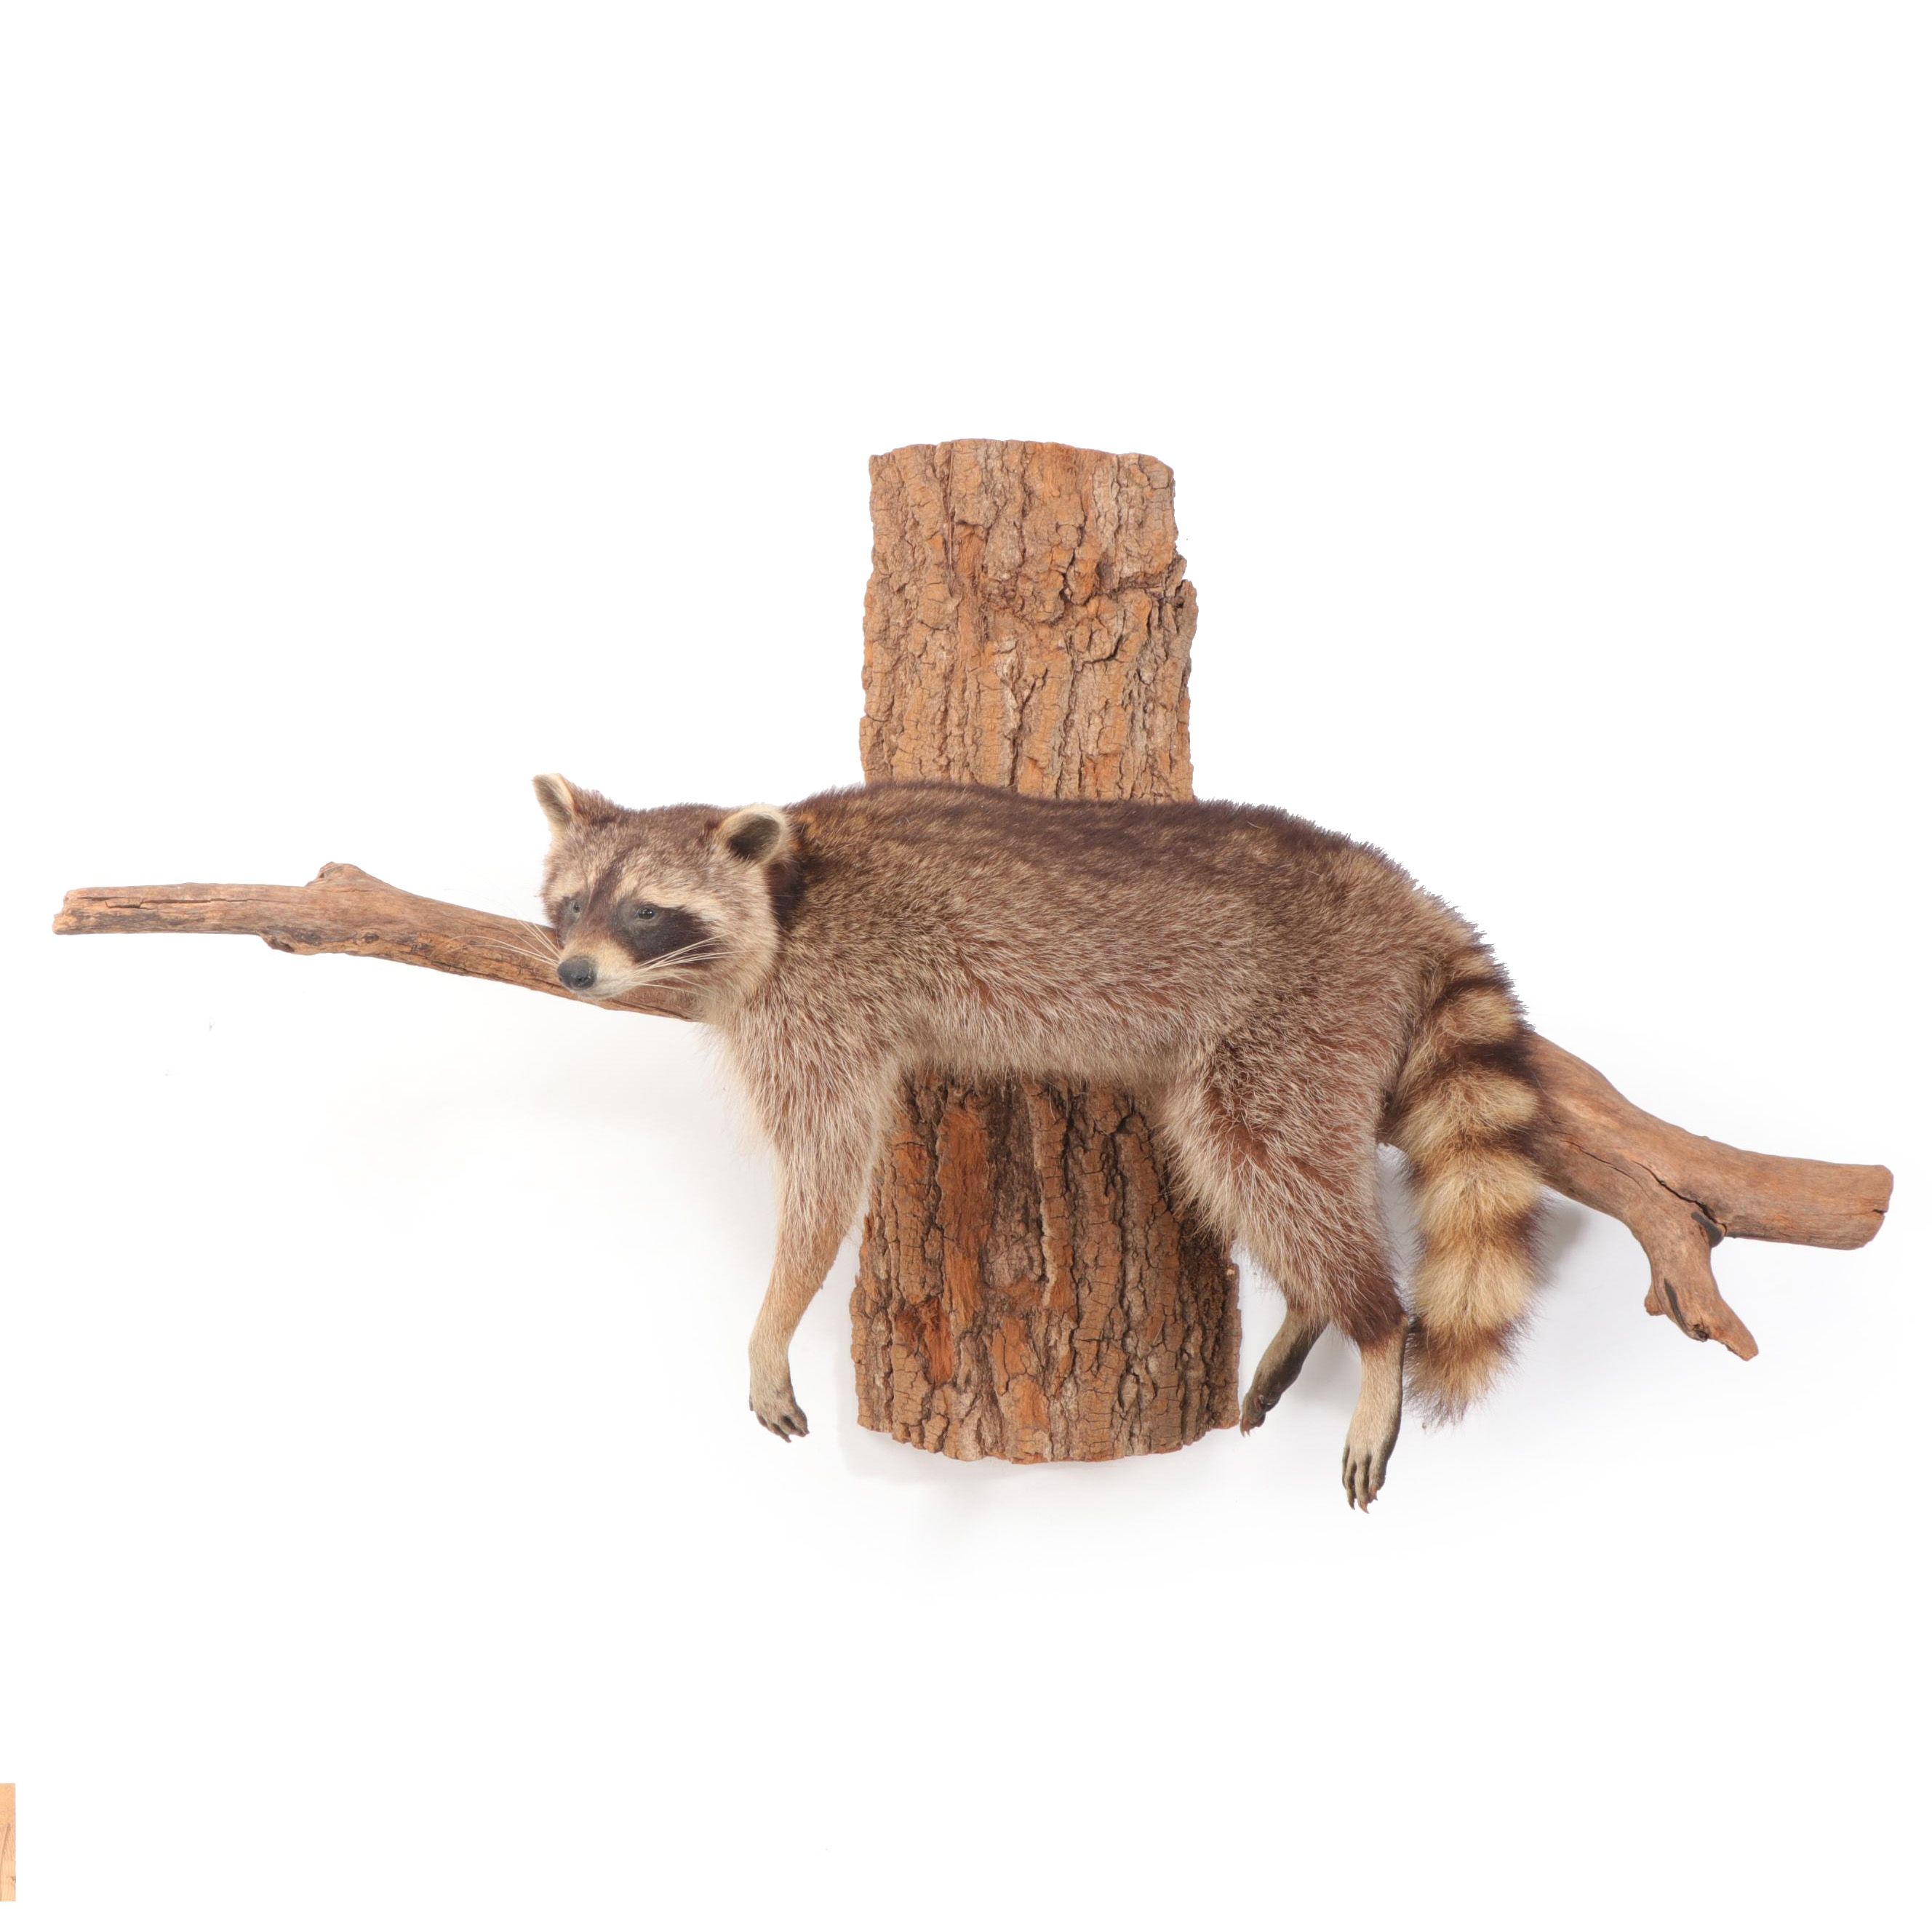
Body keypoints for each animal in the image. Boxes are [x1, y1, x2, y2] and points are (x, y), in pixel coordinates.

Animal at [534, 774, 1546, 1508]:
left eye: (645, 911)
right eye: (573, 902)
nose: (573, 971)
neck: (787, 885)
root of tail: (1391, 889)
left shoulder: (819, 1005)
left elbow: (826, 1173)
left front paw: (773, 1318)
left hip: (1299, 1012)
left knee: (1268, 1155)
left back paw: (1373, 1324)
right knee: (1254, 1166)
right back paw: (1310, 1303)